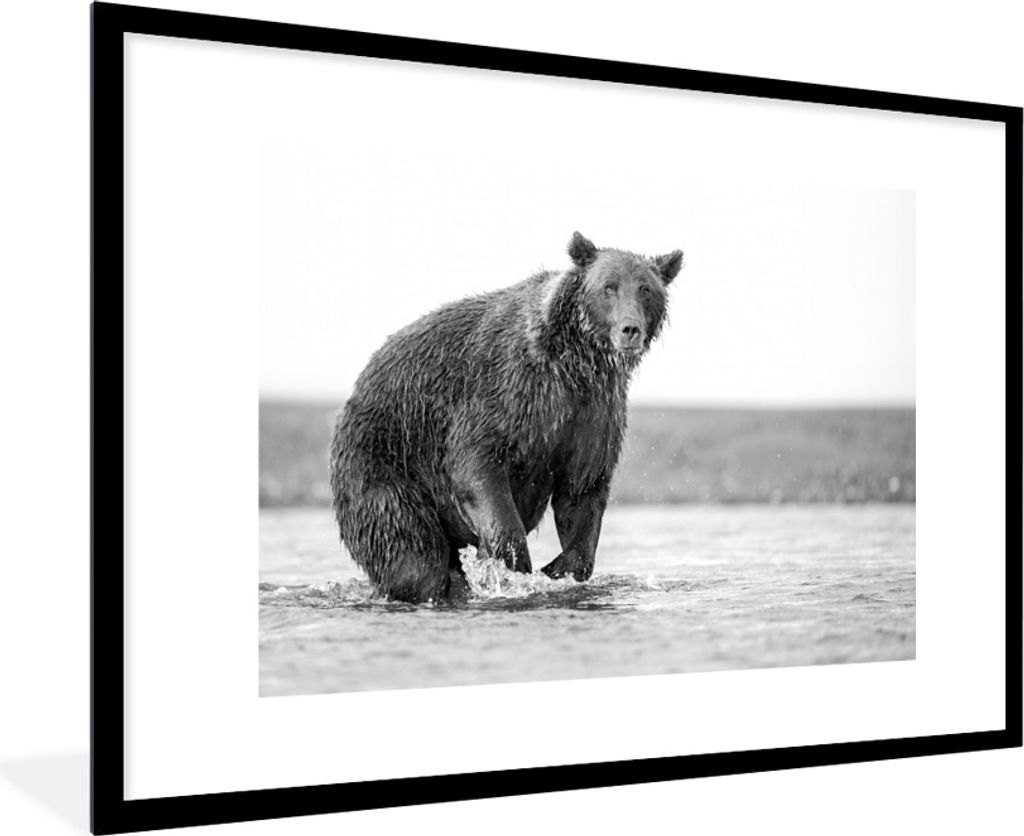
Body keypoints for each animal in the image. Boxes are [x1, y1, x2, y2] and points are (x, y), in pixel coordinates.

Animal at [330, 232, 684, 604]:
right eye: (608, 287)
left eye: (646, 289)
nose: (630, 329)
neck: (574, 362)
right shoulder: (506, 390)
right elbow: (477, 467)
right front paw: (514, 567)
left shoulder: (592, 413)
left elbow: (581, 490)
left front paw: (559, 568)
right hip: (386, 462)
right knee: (413, 555)